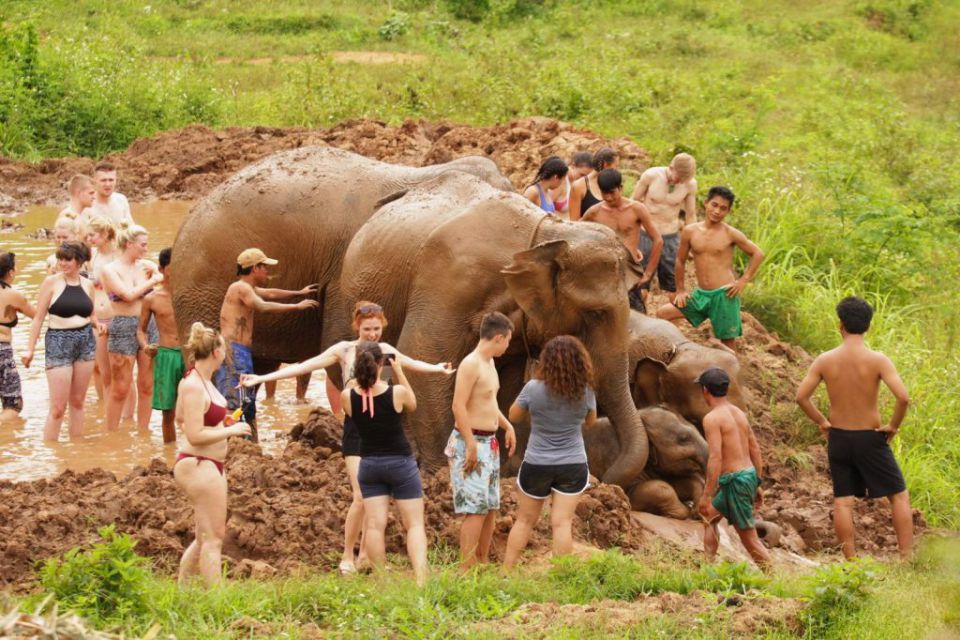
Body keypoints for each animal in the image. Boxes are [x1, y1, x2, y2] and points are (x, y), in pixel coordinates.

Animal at [336, 170, 649, 488]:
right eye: (596, 314)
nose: (605, 480)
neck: (547, 237)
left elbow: (504, 381)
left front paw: (501, 469)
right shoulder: (448, 283)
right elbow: (424, 355)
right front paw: (443, 474)